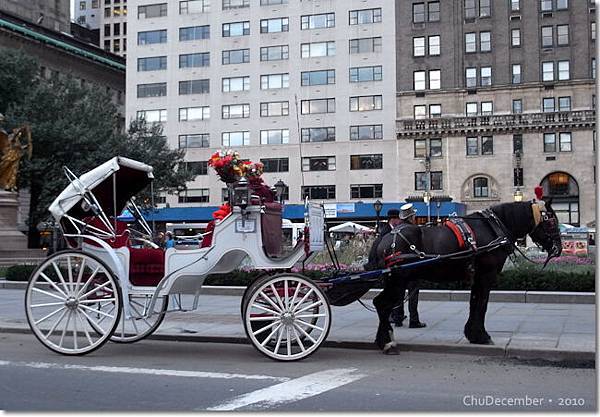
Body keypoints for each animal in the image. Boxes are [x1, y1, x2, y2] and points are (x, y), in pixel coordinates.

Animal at [370, 200, 564, 352]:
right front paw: (482, 335)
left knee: (381, 304)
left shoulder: (477, 277)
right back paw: (386, 341)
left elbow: (474, 302)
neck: (494, 227)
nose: (558, 248)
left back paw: (383, 339)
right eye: (552, 222)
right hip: (398, 280)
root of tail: (385, 237)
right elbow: (482, 304)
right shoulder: (486, 275)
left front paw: (472, 334)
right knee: (382, 304)